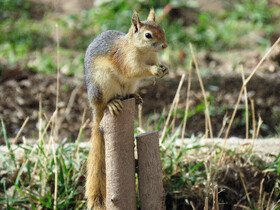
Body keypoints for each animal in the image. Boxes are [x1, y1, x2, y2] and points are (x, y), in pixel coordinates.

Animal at [84, 9, 168, 209]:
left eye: (161, 29)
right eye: (148, 35)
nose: (165, 45)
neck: (143, 52)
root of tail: (95, 107)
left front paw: (165, 70)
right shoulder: (124, 60)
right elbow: (133, 70)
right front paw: (154, 71)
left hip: (129, 85)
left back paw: (134, 97)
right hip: (103, 83)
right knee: (106, 101)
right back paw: (111, 103)